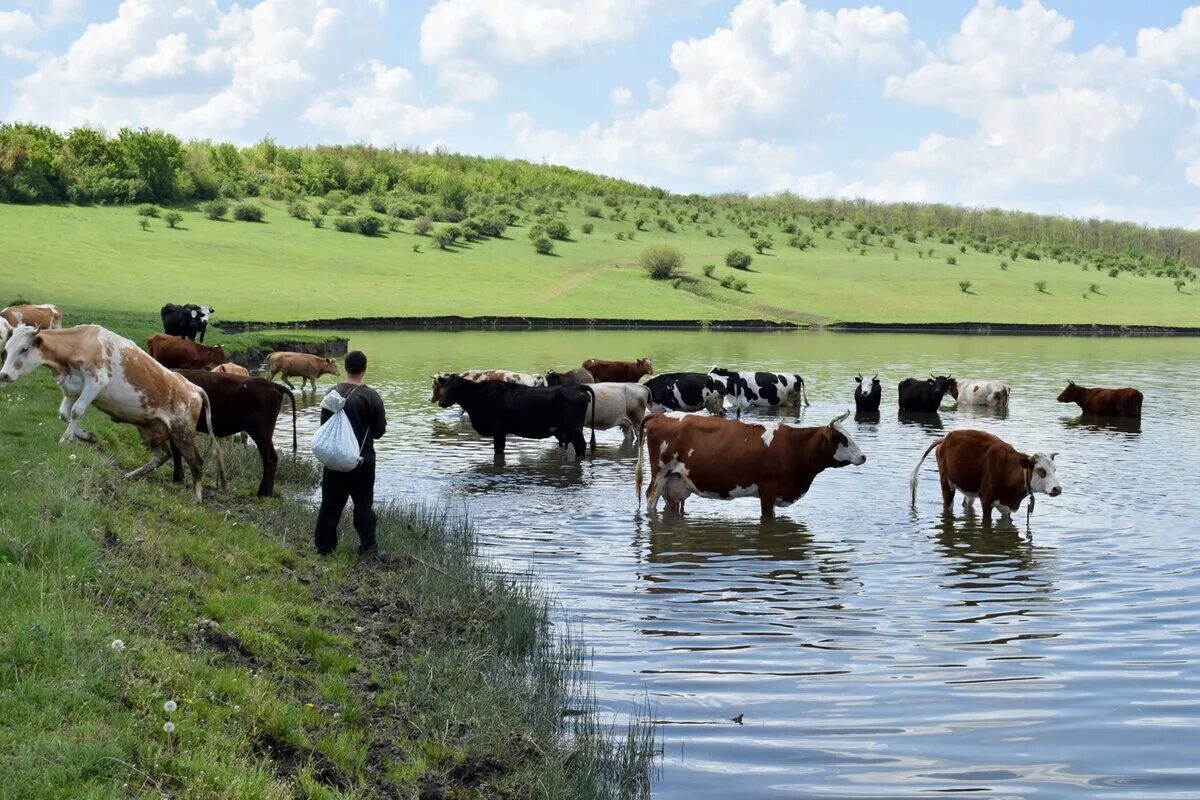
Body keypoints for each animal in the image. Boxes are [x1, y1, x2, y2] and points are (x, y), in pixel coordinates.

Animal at [0, 323, 223, 501]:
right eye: (7, 348)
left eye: (24, 348)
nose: (4, 374)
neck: (80, 344)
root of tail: (192, 387)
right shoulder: (73, 388)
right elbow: (65, 414)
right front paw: (86, 436)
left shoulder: (96, 382)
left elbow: (76, 412)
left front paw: (66, 439)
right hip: (149, 427)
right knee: (162, 455)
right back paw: (133, 475)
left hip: (182, 432)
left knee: (196, 461)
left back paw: (197, 498)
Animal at [436, 376, 595, 455]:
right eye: (445, 385)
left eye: (456, 387)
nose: (441, 402)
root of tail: (577, 386)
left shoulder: (498, 431)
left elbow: (499, 450)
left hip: (574, 430)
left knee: (581, 446)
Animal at [633, 410, 868, 522]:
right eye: (842, 439)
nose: (863, 456)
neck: (794, 446)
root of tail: (660, 414)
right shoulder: (768, 489)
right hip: (660, 474)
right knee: (650, 499)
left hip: (674, 481)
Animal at [907, 431, 1060, 525]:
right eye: (1041, 470)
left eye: (1054, 469)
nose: (1057, 489)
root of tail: (944, 439)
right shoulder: (986, 501)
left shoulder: (1007, 507)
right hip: (947, 484)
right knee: (947, 506)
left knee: (967, 504)